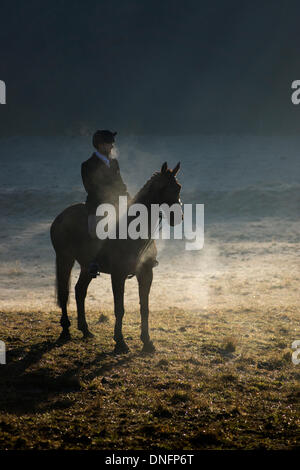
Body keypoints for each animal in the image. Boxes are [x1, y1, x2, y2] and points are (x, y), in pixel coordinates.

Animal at [50, 162, 182, 352]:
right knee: (63, 293)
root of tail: (61, 216)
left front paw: (147, 342)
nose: (177, 217)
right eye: (163, 187)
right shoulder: (118, 275)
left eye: (178, 187)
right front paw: (120, 342)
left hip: (86, 267)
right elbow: (119, 308)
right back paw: (66, 330)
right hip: (64, 259)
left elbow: (145, 308)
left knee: (79, 291)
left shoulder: (146, 273)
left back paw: (86, 330)